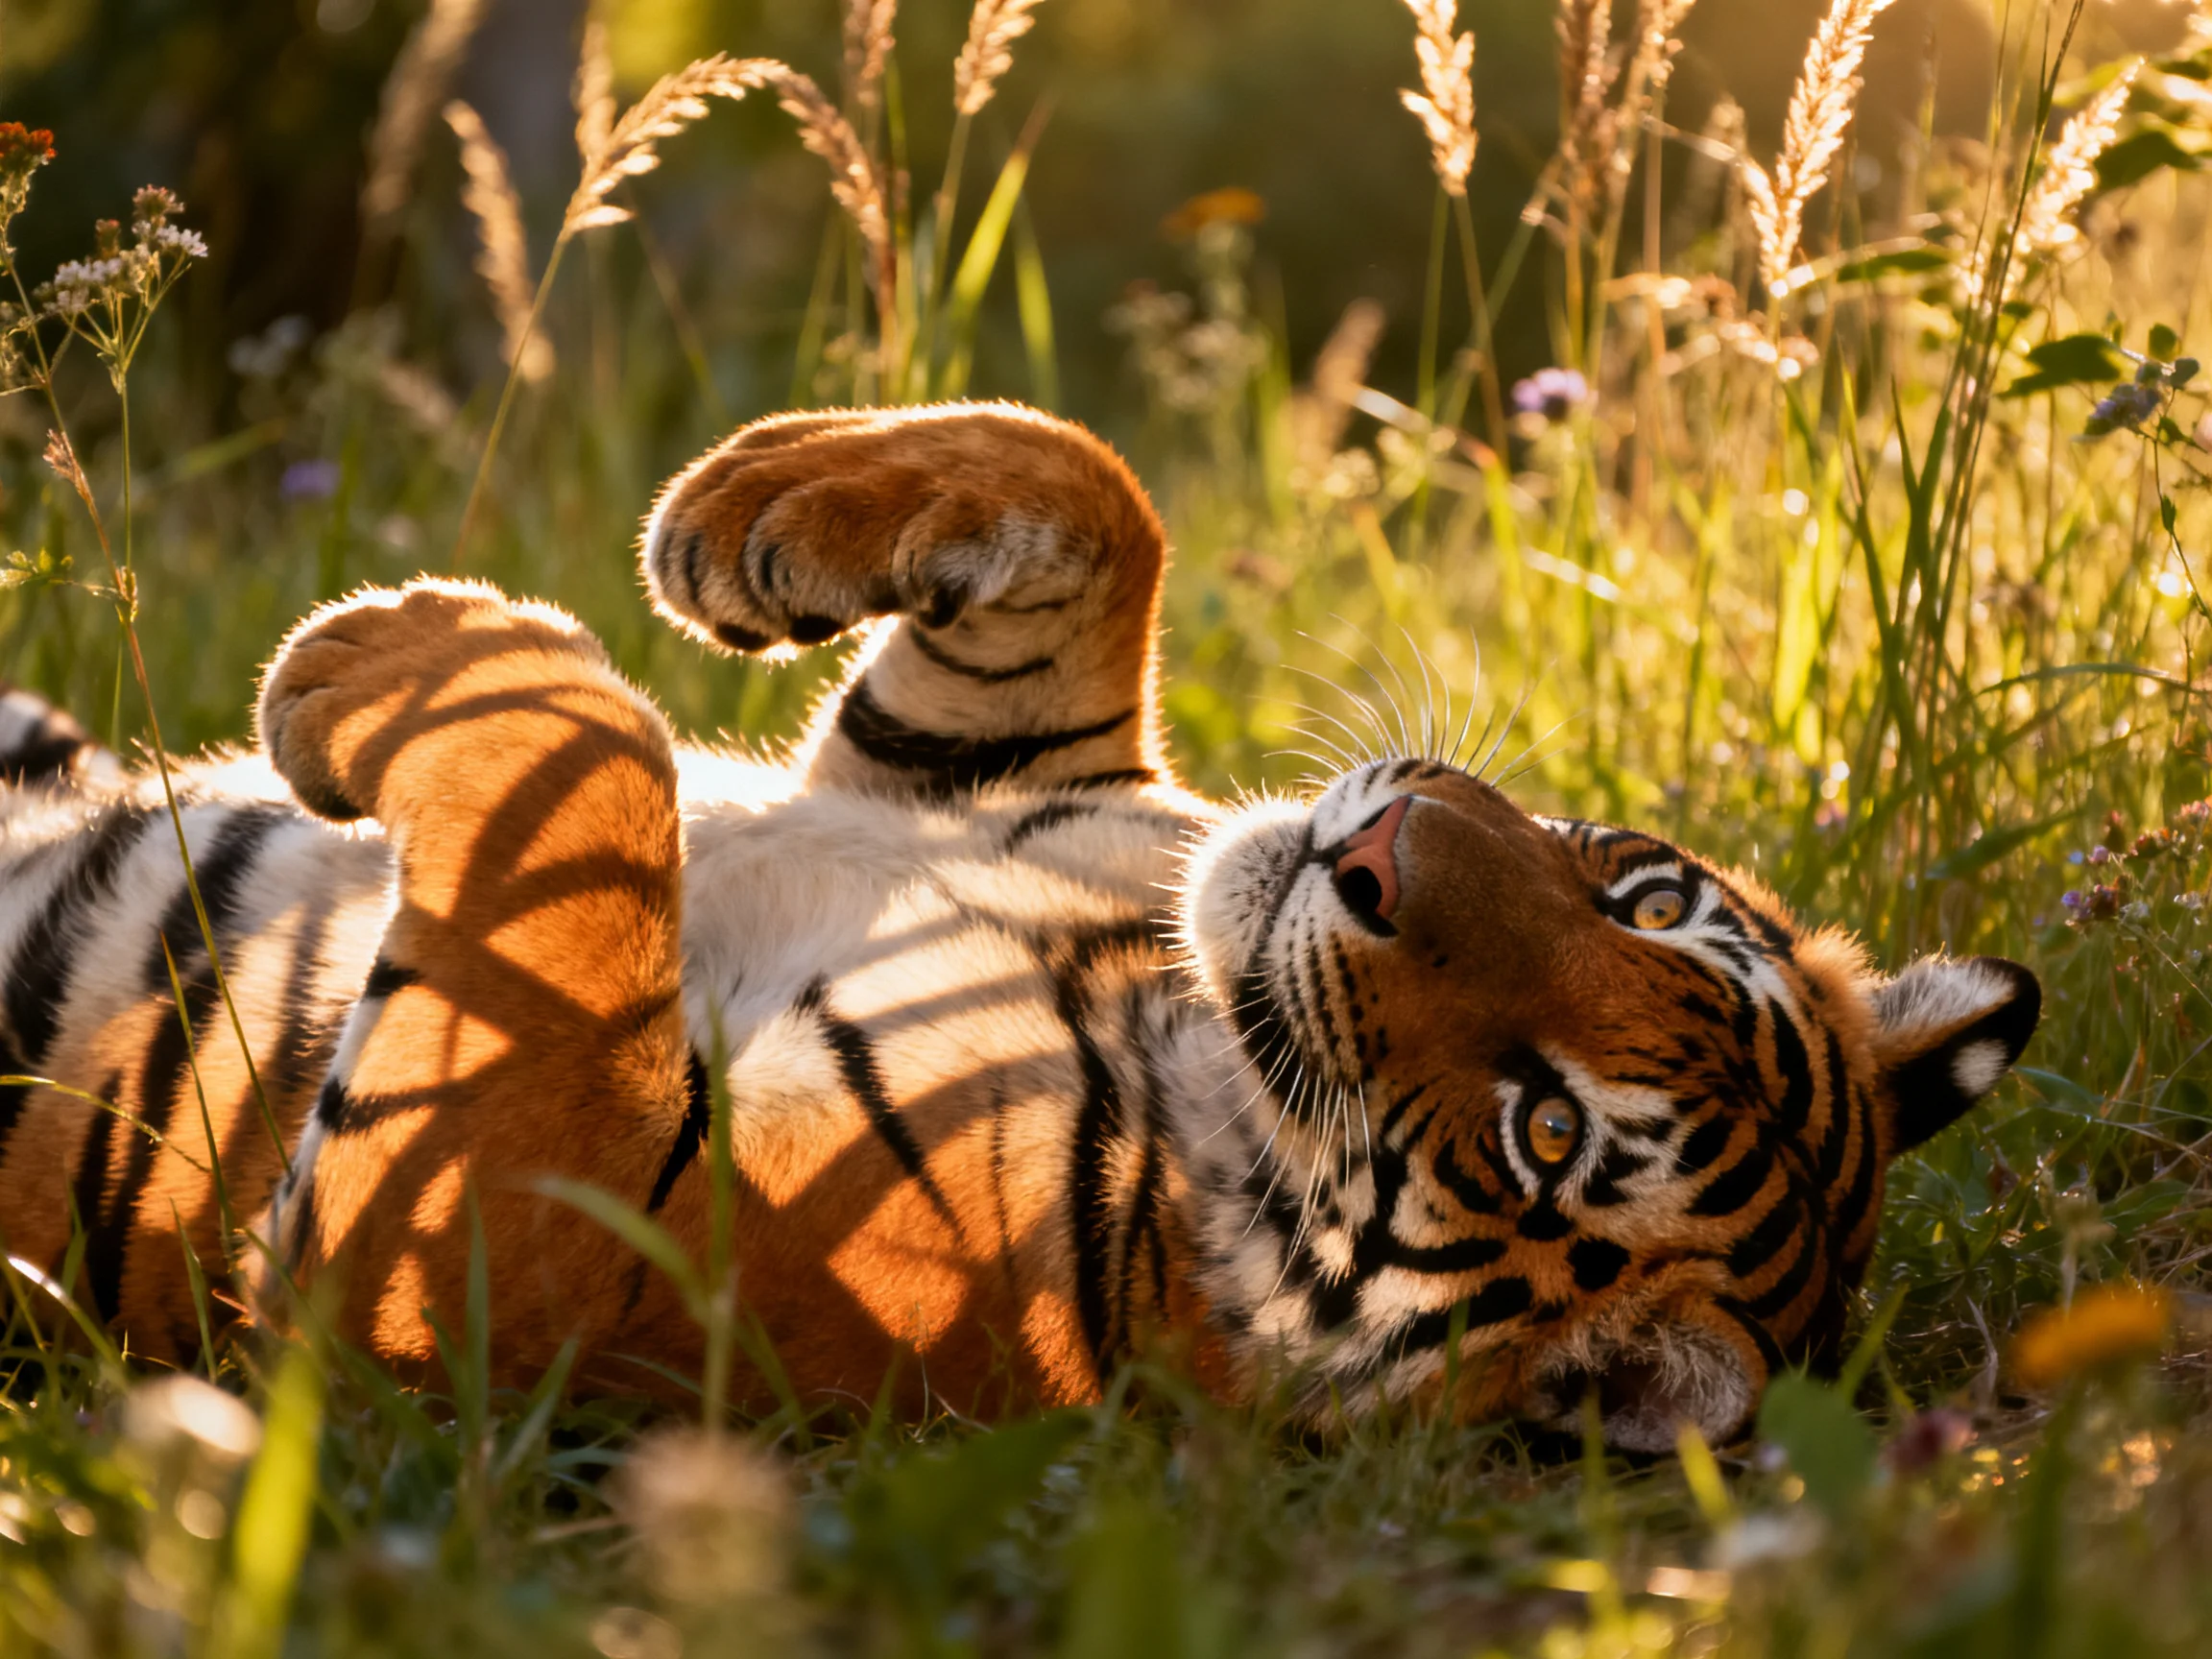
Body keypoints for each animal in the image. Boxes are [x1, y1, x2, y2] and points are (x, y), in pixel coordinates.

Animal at [0, 402, 2041, 1451]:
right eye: (1647, 896)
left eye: (1547, 1130)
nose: (1377, 849)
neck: (1162, 1007)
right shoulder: (984, 768)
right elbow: (1092, 486)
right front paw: (761, 502)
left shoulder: (488, 1258)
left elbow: (593, 789)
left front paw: (382, 657)